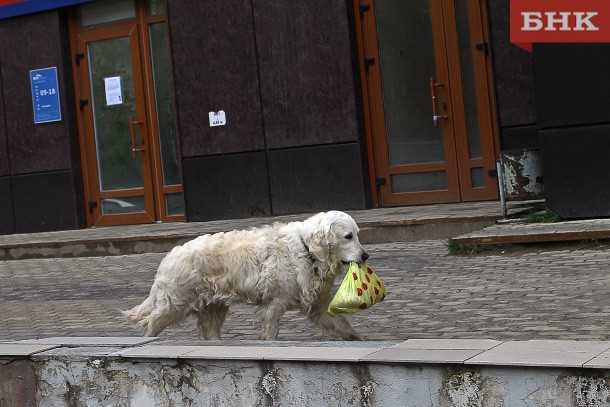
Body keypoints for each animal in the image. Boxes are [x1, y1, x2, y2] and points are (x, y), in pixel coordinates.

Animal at [124, 210, 366, 342]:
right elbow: (270, 331)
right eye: (348, 236)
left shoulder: (317, 305)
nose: (366, 255)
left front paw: (358, 338)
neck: (307, 249)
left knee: (209, 331)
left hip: (213, 307)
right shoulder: (274, 303)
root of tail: (168, 257)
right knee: (151, 323)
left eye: (357, 234)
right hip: (175, 303)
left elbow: (341, 324)